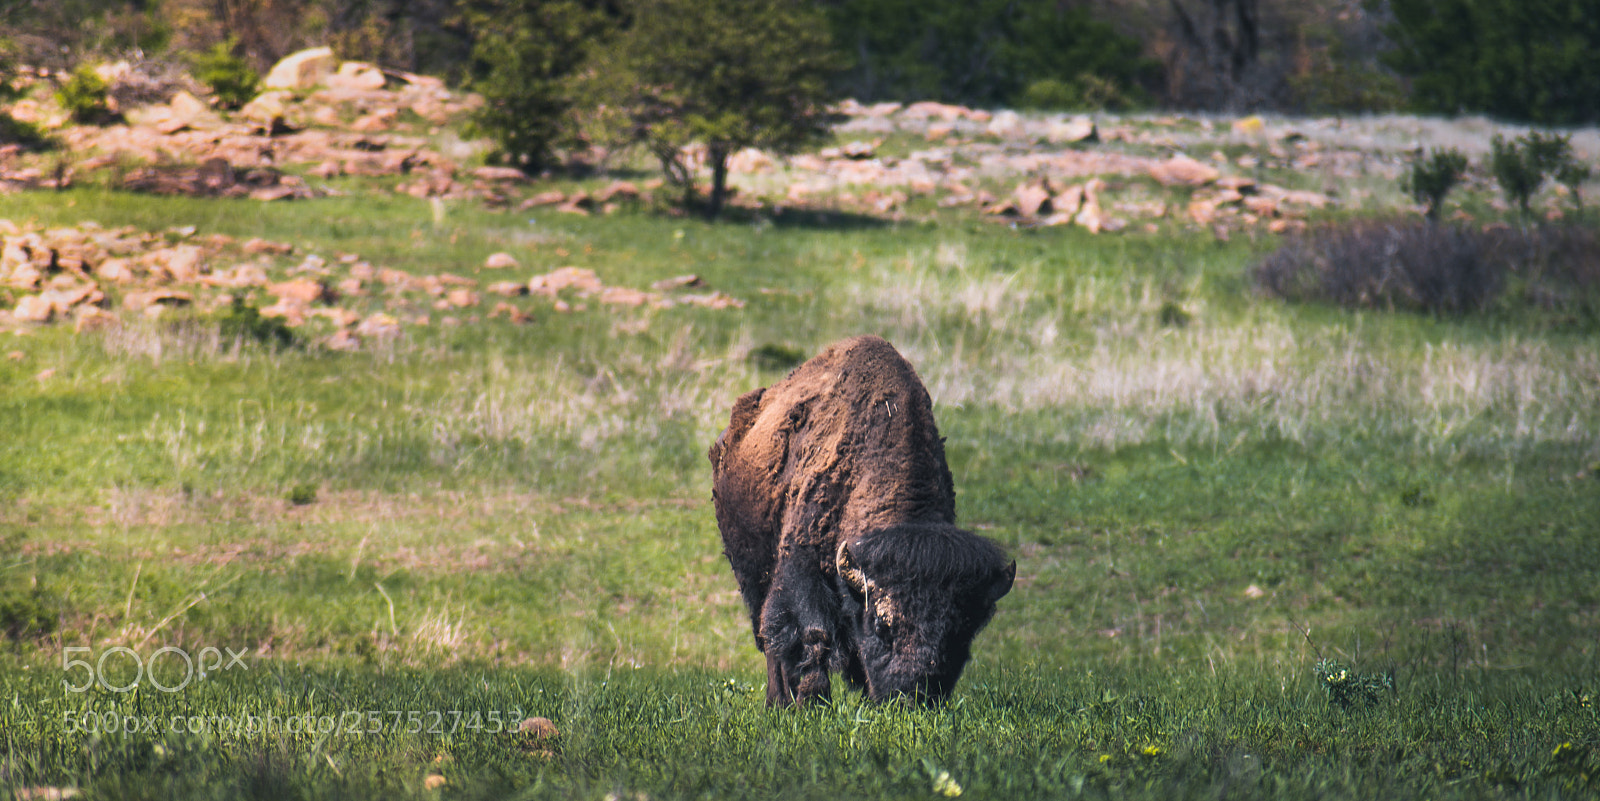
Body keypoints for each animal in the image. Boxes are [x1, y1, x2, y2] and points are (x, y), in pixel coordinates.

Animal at [710, 334, 1011, 703]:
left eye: (958, 632)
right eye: (882, 624)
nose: (910, 697)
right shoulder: (802, 570)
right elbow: (811, 635)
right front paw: (811, 700)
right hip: (751, 574)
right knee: (769, 638)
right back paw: (779, 701)